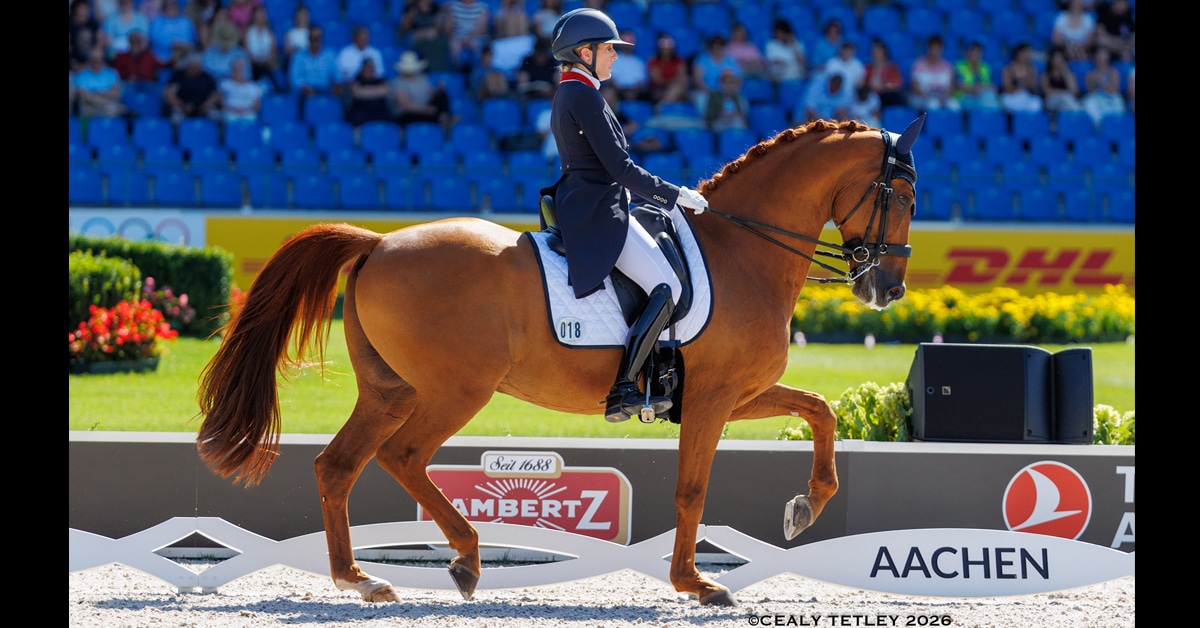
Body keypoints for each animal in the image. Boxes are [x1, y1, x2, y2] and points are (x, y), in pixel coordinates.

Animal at [196, 116, 924, 607]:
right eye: (903, 198)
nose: (887, 290)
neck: (743, 250)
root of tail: (378, 243)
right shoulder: (714, 399)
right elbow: (692, 489)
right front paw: (695, 582)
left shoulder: (731, 393)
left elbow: (821, 410)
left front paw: (806, 507)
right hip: (456, 390)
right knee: (402, 456)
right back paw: (464, 558)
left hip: (390, 390)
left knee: (338, 465)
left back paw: (361, 579)